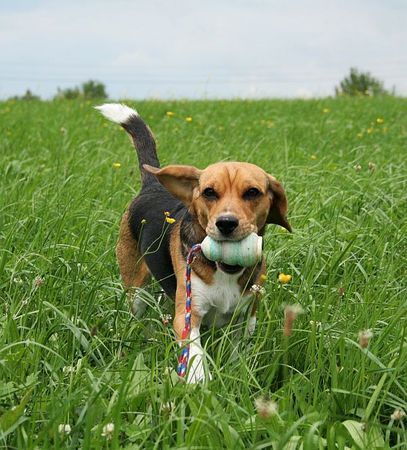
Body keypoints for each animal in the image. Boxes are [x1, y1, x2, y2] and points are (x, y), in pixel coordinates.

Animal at [97, 103, 292, 382]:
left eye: (252, 192)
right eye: (209, 192)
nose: (226, 223)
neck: (224, 269)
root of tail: (153, 186)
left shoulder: (247, 316)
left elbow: (238, 351)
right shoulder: (188, 316)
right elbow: (195, 354)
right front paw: (198, 382)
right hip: (136, 289)